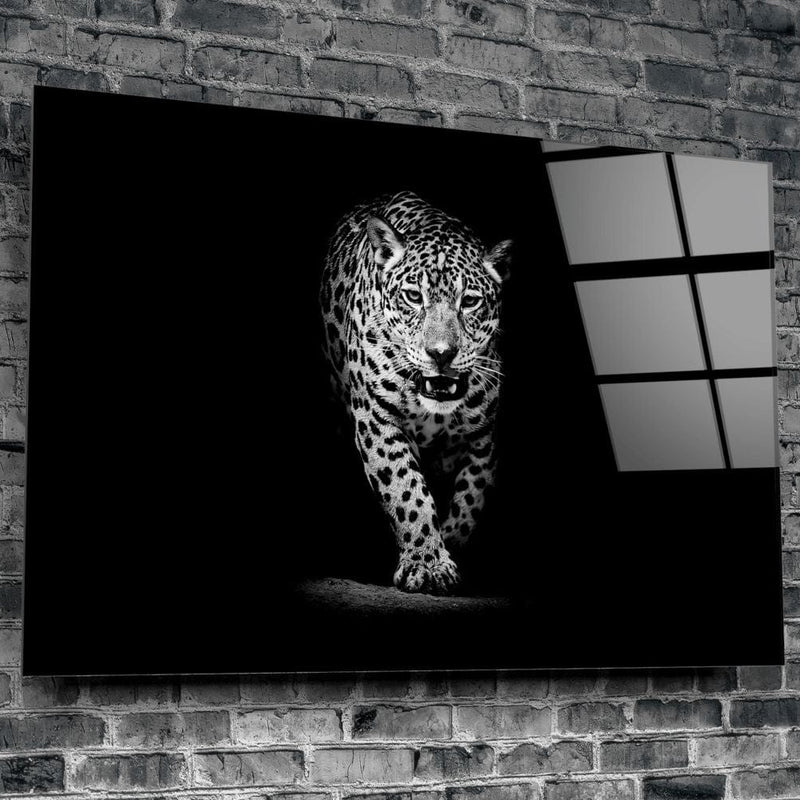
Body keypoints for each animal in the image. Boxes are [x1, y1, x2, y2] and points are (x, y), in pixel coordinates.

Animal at [319, 190, 512, 595]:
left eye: (469, 301)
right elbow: (406, 489)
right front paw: (427, 563)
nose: (441, 353)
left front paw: (450, 547)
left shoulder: (483, 435)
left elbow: (472, 498)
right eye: (412, 297)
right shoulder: (377, 419)